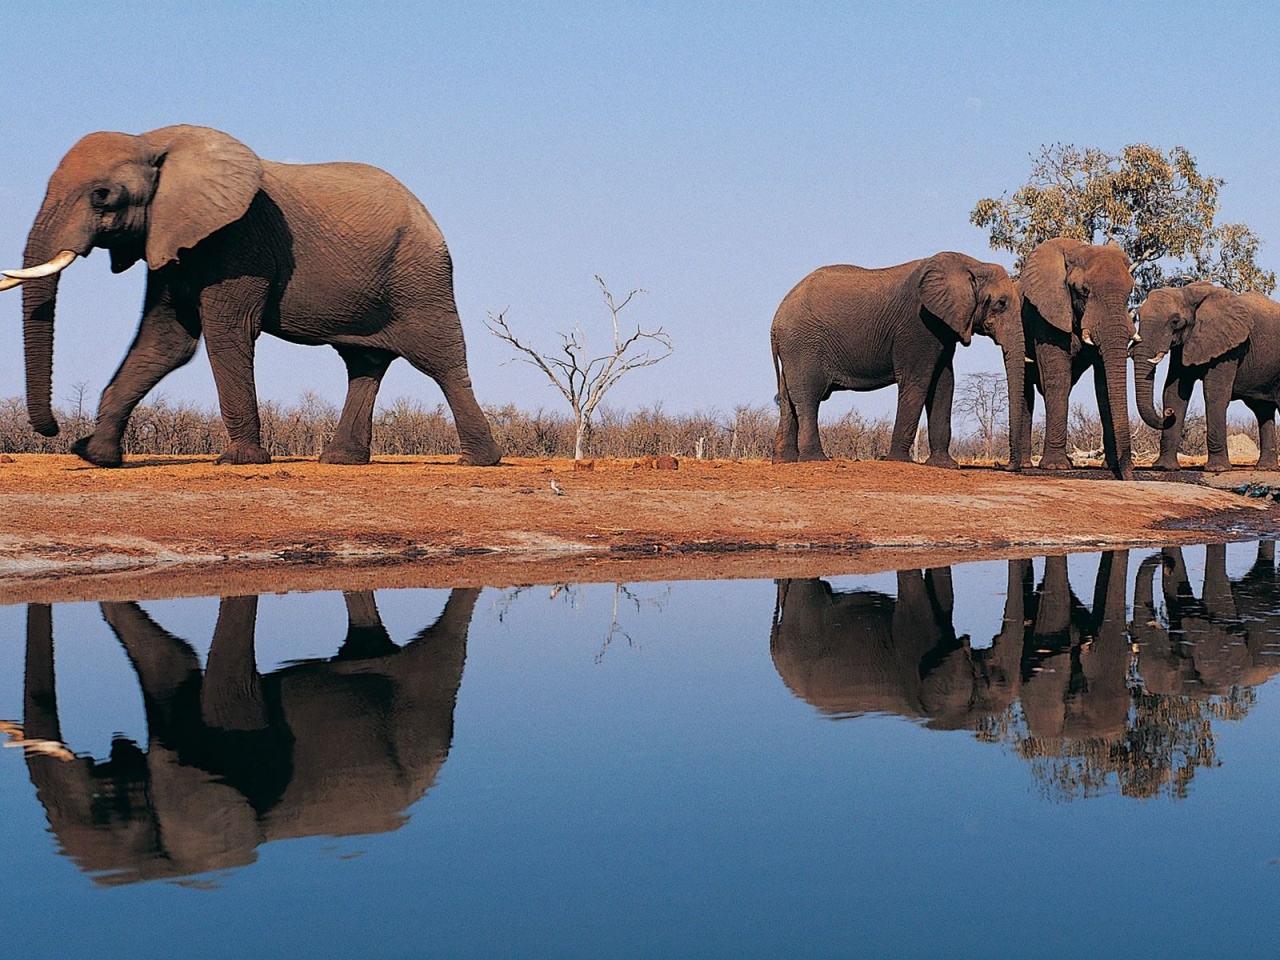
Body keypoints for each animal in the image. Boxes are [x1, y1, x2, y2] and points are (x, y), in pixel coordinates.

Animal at [0, 124, 499, 471]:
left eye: (103, 197)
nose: (55, 430)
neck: (154, 142)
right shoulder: (173, 240)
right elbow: (165, 342)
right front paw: (95, 456)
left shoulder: (239, 239)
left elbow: (227, 332)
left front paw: (239, 460)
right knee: (363, 362)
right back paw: (340, 460)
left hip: (421, 276)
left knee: (440, 359)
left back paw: (480, 460)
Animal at [762, 252, 1024, 471]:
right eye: (1001, 303)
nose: (1001, 465)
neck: (972, 264)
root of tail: (775, 321)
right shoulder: (918, 324)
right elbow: (917, 382)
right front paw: (898, 460)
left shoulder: (944, 327)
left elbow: (944, 383)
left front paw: (945, 466)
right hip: (804, 345)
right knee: (809, 397)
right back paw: (815, 460)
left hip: (794, 350)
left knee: (788, 398)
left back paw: (784, 461)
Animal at [1013, 240, 1136, 481]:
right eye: (1083, 291)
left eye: (1130, 291)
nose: (1130, 476)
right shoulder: (1047, 315)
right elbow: (1058, 378)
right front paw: (1056, 467)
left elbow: (1103, 386)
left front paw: (1110, 466)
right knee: (1025, 388)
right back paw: (1025, 465)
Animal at [1131, 280, 1280, 471]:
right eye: (1138, 317)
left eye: (1175, 321)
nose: (1168, 413)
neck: (1187, 292)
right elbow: (1174, 392)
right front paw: (1164, 468)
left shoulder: (1230, 346)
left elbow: (1214, 394)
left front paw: (1218, 469)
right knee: (1263, 410)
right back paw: (1265, 468)